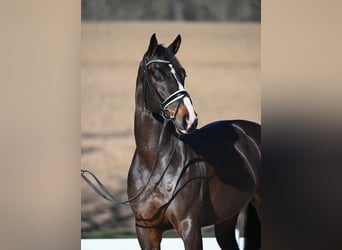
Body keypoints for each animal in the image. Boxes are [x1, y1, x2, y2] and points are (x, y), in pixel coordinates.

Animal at [127, 33, 260, 250]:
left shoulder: (189, 227)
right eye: (157, 75)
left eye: (183, 74)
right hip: (226, 219)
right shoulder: (146, 231)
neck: (155, 166)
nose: (189, 118)